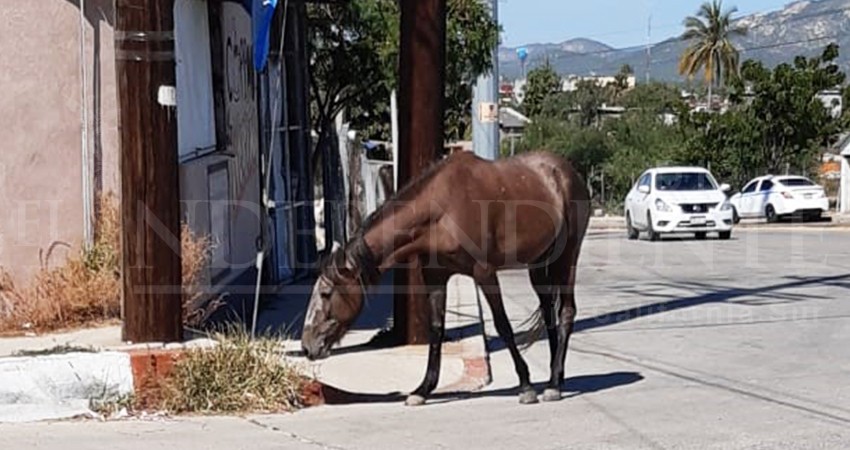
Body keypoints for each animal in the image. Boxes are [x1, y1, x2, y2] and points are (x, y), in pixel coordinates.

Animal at [302, 149, 588, 406]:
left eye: (326, 293)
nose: (307, 346)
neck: (442, 209)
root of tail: (567, 172)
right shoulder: (435, 277)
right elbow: (436, 329)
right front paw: (422, 390)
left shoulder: (484, 273)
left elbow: (503, 325)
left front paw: (526, 386)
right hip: (539, 263)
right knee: (549, 312)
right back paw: (555, 377)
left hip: (568, 257)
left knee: (566, 312)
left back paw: (552, 385)